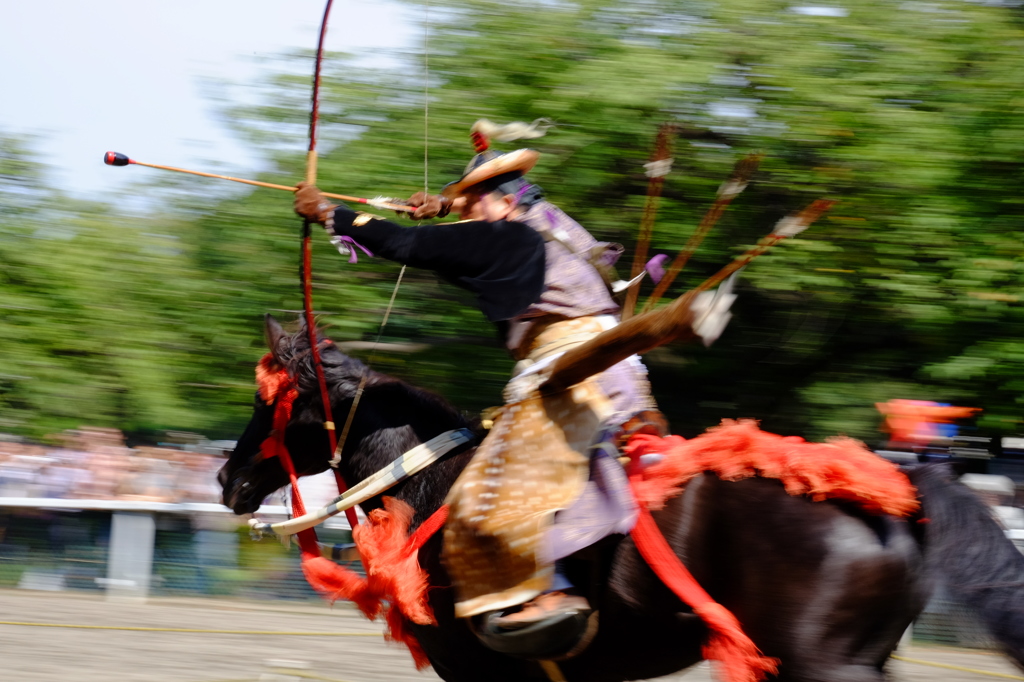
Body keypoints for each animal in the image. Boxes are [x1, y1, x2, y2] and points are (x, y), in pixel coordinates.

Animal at [220, 315, 1024, 679]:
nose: (228, 479)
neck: (433, 486)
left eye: (270, 403)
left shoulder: (477, 670)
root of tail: (897, 490)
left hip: (827, 666)